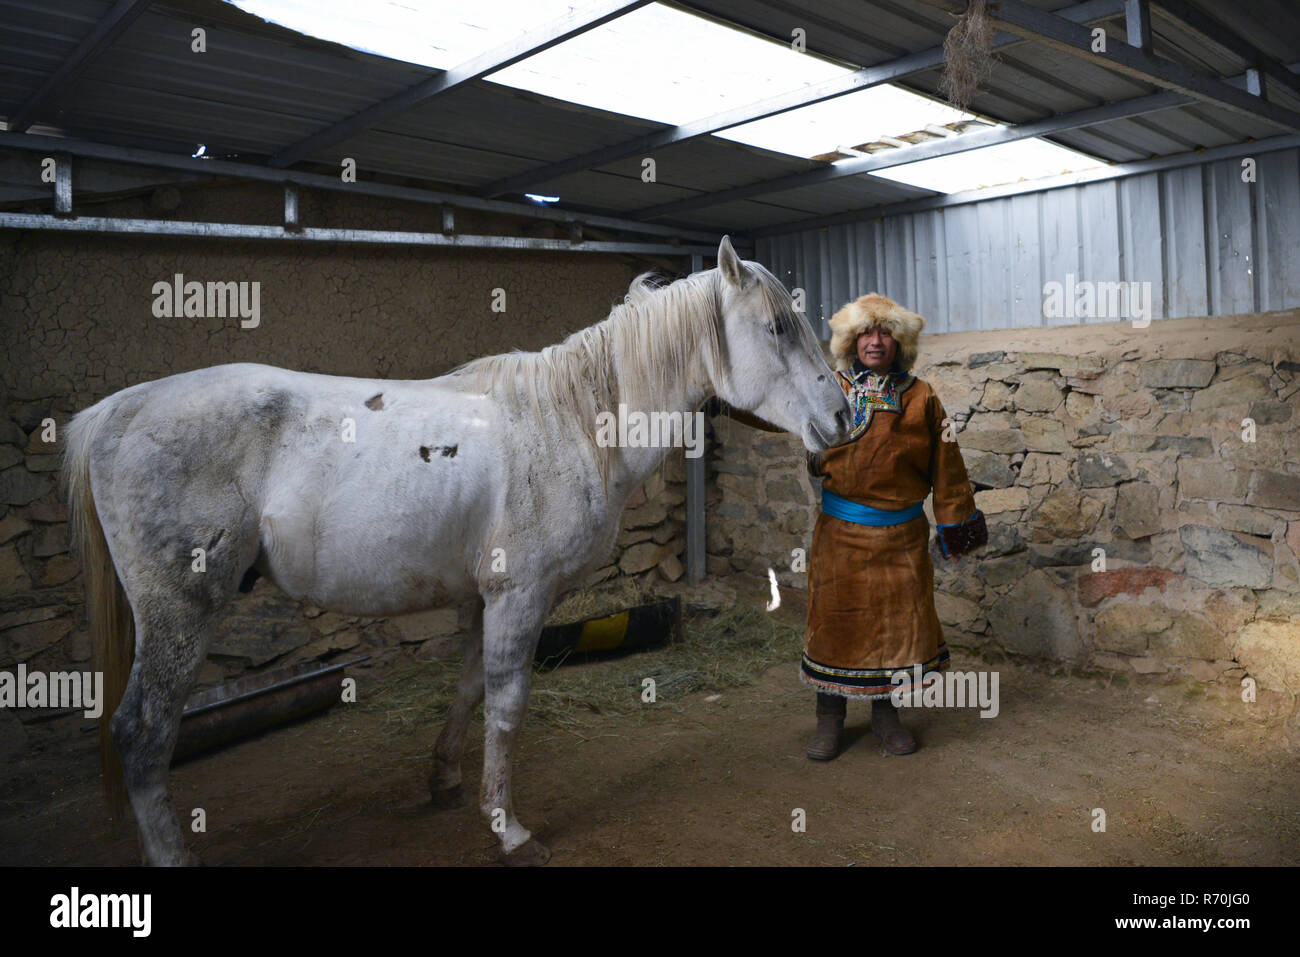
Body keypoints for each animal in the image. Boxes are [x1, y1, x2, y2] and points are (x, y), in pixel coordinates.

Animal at [63, 235, 852, 863]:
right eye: (778, 326)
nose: (843, 416)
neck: (568, 422)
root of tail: (113, 412)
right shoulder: (521, 596)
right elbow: (506, 705)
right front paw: (508, 828)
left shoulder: (486, 599)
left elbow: (470, 688)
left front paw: (444, 779)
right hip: (179, 613)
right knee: (142, 734)